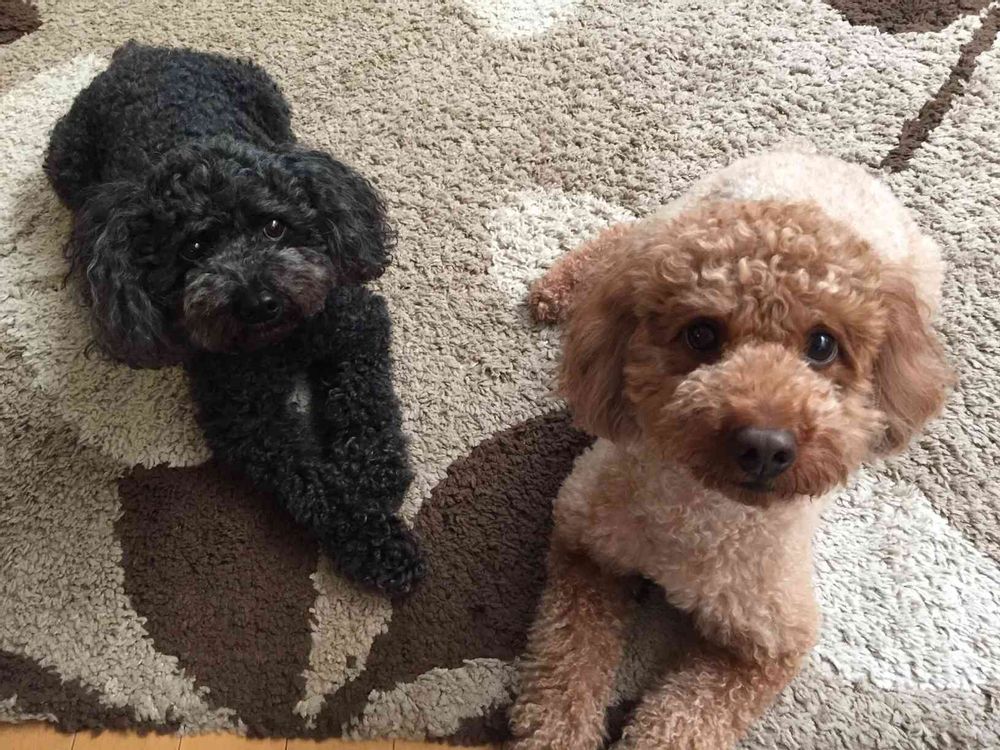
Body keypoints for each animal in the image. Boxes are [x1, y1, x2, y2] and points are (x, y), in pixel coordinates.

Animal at [44, 43, 424, 594]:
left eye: (274, 226)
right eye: (194, 248)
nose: (259, 300)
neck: (278, 341)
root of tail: (138, 53)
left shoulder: (354, 325)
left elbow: (366, 402)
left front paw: (375, 476)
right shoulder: (244, 420)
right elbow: (310, 483)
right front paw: (379, 544)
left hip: (271, 102)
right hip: (67, 165)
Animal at [510, 152, 954, 748]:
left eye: (822, 345)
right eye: (701, 334)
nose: (765, 446)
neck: (702, 515)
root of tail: (827, 160)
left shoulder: (770, 644)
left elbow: (681, 718)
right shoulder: (585, 543)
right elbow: (567, 661)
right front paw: (556, 730)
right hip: (677, 212)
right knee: (625, 235)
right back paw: (559, 287)